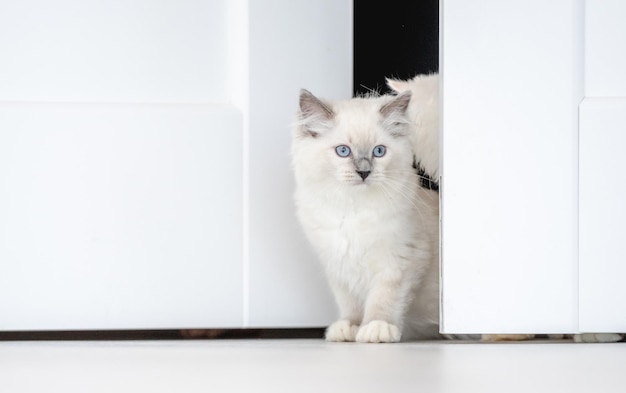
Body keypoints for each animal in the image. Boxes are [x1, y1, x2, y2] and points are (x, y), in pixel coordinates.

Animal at [292, 88, 438, 340]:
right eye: (343, 151)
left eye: (378, 152)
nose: (363, 172)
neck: (352, 209)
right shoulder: (338, 265)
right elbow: (349, 304)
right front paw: (348, 328)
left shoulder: (398, 262)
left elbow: (383, 300)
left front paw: (376, 328)